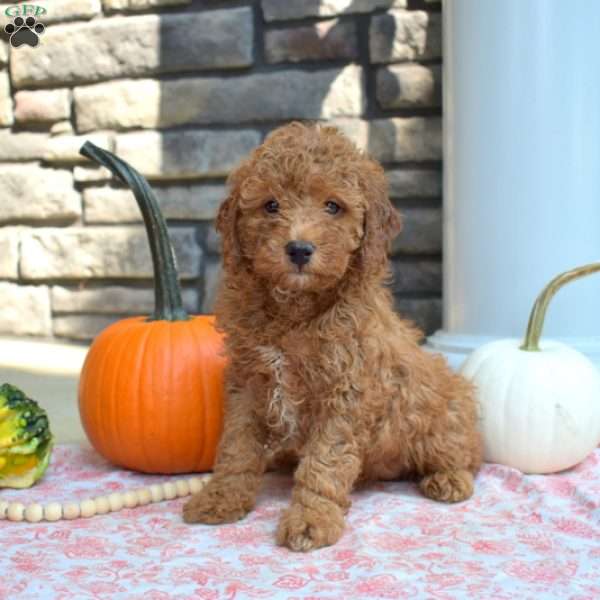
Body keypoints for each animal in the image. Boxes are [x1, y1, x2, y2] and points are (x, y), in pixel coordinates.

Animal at [183, 122, 482, 552]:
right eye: (271, 205)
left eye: (333, 206)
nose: (299, 249)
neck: (295, 308)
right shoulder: (249, 381)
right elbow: (237, 446)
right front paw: (221, 496)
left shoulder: (345, 391)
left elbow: (325, 461)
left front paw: (311, 519)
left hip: (441, 409)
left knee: (465, 452)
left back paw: (449, 478)